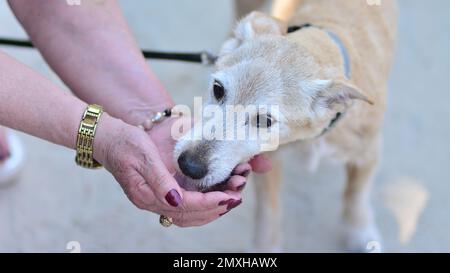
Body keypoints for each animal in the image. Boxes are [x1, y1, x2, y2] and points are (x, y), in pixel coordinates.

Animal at [174, 0, 396, 252]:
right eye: (218, 89)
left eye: (264, 121)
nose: (188, 165)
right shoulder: (269, 162)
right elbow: (268, 212)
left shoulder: (369, 152)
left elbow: (356, 194)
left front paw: (362, 233)